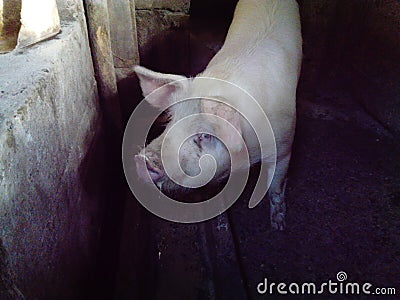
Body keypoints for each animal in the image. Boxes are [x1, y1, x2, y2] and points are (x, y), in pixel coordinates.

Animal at [133, 0, 302, 230]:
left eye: (204, 135)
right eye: (171, 121)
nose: (144, 159)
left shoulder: (284, 143)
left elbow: (275, 186)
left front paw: (278, 226)